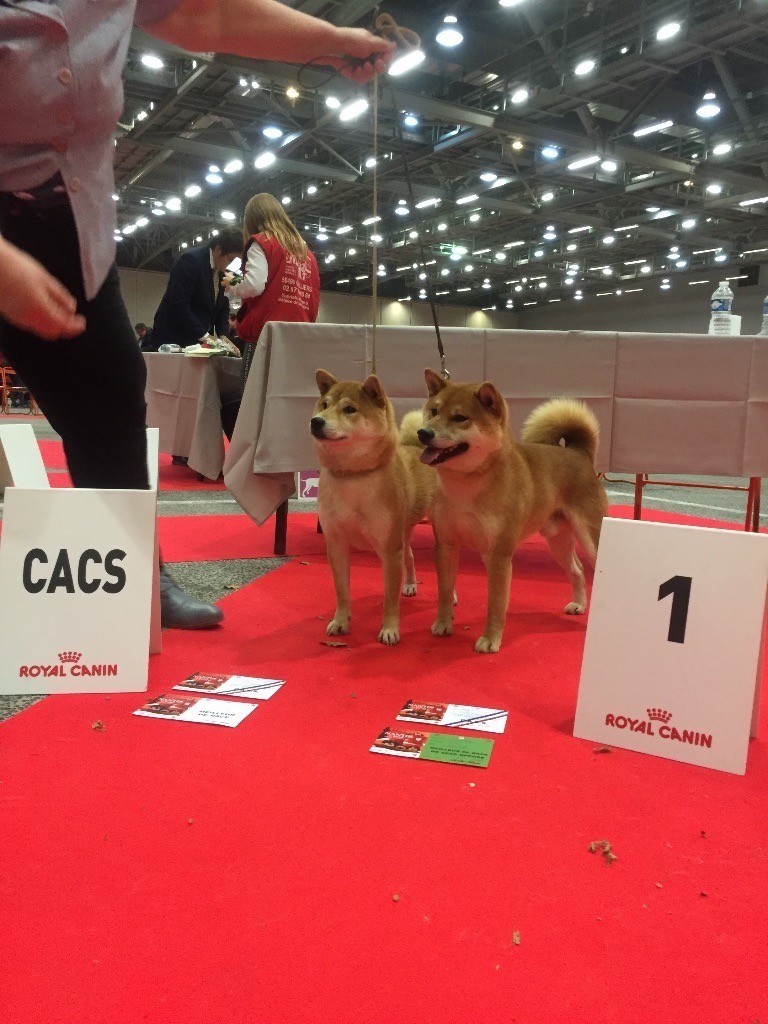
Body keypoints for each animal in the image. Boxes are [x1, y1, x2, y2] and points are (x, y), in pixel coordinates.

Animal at [310, 370, 436, 645]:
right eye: (324, 405)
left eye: (349, 409)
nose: (316, 421)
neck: (352, 477)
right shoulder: (336, 544)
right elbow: (342, 592)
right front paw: (340, 622)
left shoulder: (389, 548)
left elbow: (390, 599)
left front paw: (389, 629)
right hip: (403, 532)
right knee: (410, 555)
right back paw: (410, 584)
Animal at [417, 369, 608, 654]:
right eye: (433, 411)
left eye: (460, 418)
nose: (423, 433)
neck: (466, 487)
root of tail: (579, 454)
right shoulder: (446, 545)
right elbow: (445, 592)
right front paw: (442, 624)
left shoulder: (498, 555)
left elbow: (495, 604)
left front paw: (490, 639)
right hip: (557, 542)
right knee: (577, 570)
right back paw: (579, 605)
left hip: (591, 539)